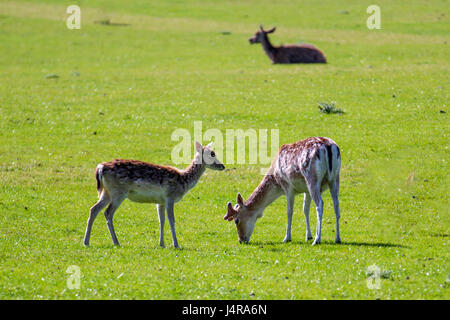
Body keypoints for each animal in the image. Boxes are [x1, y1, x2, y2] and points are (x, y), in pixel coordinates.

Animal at [83, 141, 224, 249]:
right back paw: (116, 242)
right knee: (108, 213)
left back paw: (86, 241)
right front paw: (176, 244)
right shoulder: (170, 196)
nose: (222, 165)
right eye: (212, 154)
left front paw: (161, 244)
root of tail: (100, 168)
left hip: (106, 192)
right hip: (118, 192)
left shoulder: (160, 201)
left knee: (93, 209)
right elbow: (171, 220)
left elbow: (161, 220)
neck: (183, 181)